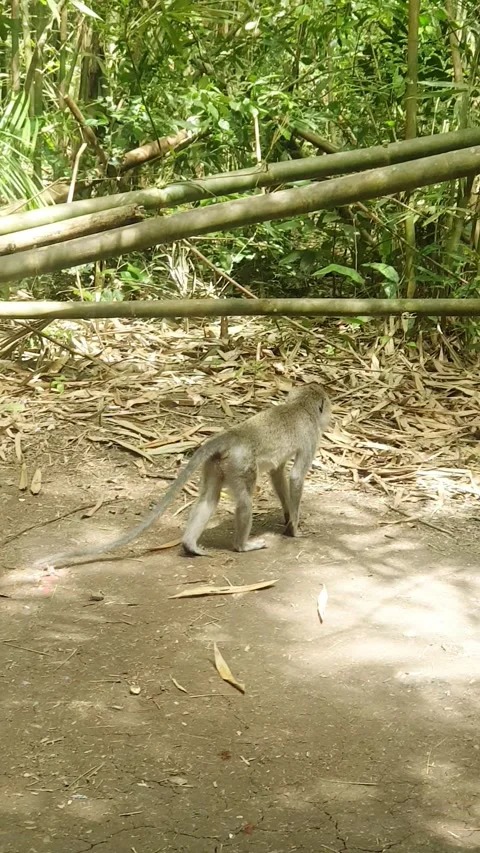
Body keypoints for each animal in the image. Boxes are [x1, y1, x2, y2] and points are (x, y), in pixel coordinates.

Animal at [38, 383, 331, 568]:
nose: (330, 416)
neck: (301, 406)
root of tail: (233, 434)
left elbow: (279, 473)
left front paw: (288, 517)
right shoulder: (311, 435)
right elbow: (295, 477)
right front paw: (295, 529)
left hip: (217, 464)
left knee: (208, 500)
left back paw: (190, 545)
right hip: (241, 465)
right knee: (244, 501)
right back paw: (242, 546)